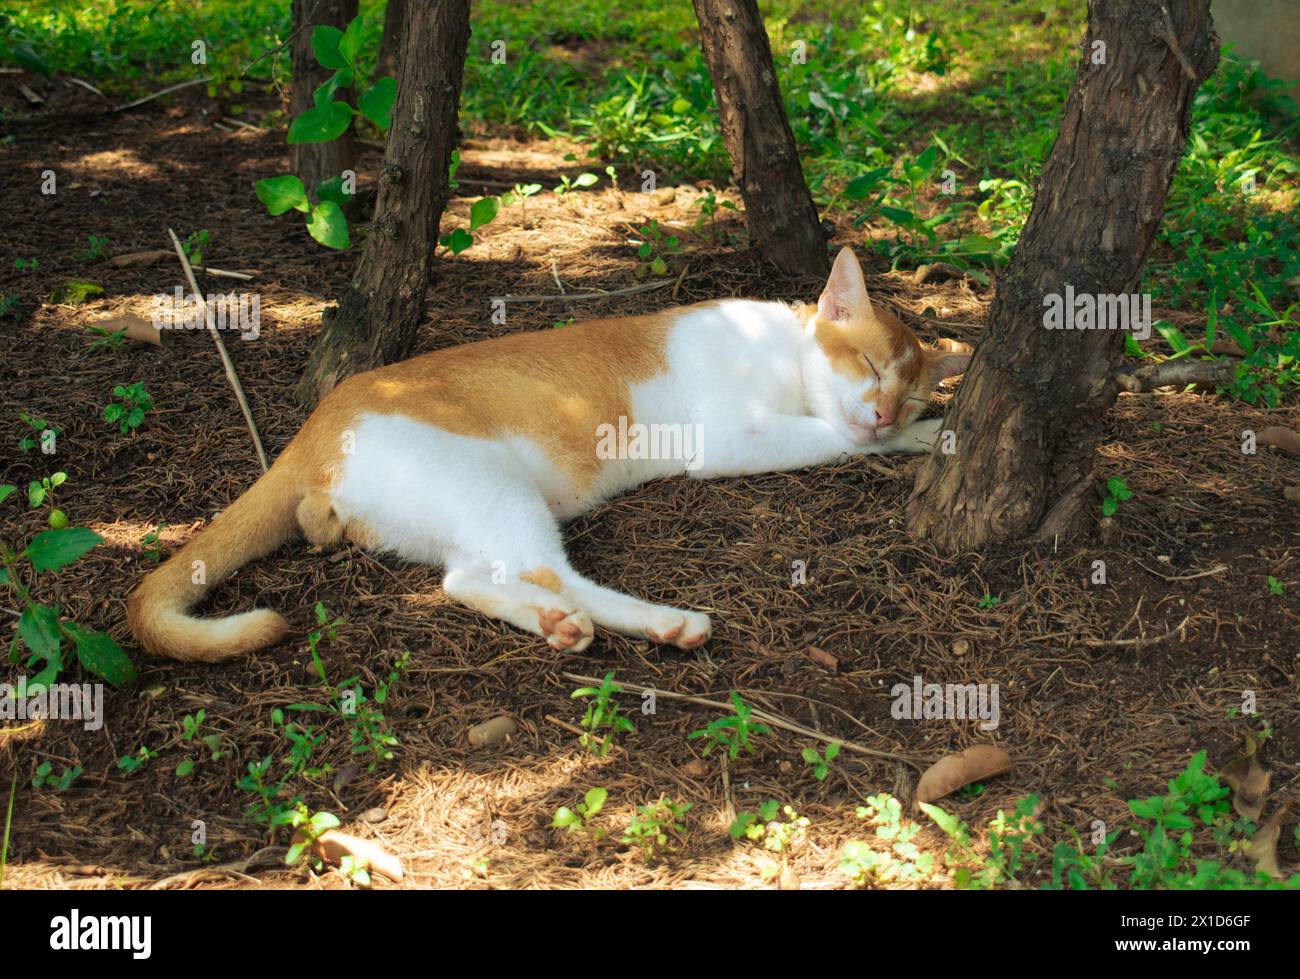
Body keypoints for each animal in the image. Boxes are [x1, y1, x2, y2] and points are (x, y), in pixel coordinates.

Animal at [129, 244, 967, 660]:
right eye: (870, 368)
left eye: (906, 391)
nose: (888, 413)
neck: (784, 349)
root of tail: (314, 428)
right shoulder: (731, 436)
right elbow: (831, 437)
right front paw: (906, 437)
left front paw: (927, 430)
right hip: (495, 487)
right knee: (555, 574)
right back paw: (665, 623)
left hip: (460, 517)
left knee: (467, 580)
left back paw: (557, 626)